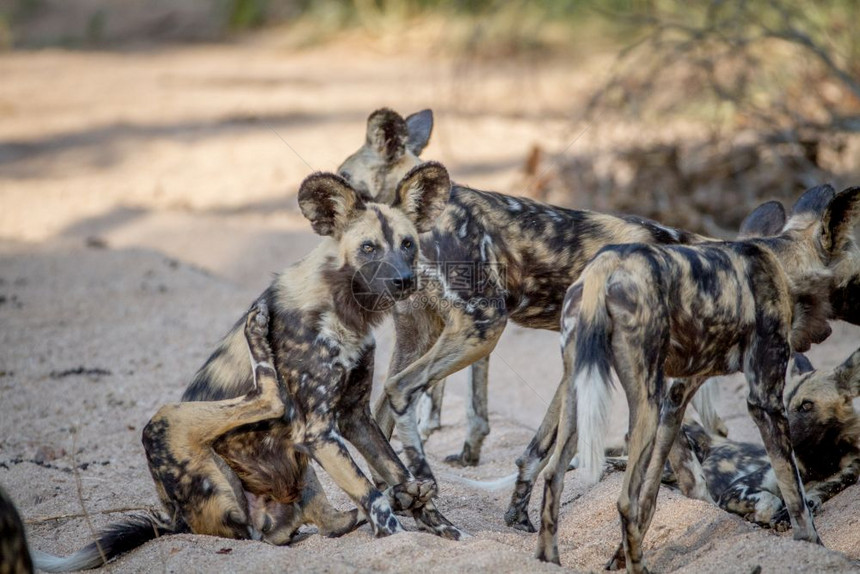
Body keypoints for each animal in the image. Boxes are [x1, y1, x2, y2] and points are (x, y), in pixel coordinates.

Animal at [31, 163, 464, 574]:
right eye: (369, 248)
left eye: (408, 244)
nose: (403, 280)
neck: (343, 311)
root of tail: (176, 522)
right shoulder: (318, 431)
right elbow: (374, 499)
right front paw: (399, 537)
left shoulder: (353, 418)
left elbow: (392, 469)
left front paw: (446, 532)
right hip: (171, 424)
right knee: (263, 498)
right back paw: (256, 337)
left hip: (299, 470)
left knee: (328, 523)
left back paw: (402, 495)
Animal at [532, 187, 860, 572]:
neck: (782, 264)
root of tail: (606, 264)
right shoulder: (765, 402)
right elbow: (795, 496)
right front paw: (814, 550)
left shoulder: (677, 398)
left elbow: (652, 498)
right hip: (644, 403)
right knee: (625, 499)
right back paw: (637, 568)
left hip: (580, 394)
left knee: (553, 476)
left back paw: (548, 562)